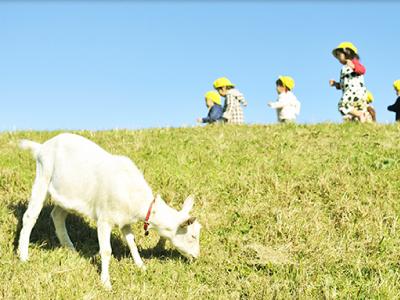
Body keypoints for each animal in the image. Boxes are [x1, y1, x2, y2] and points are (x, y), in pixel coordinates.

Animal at [18, 133, 200, 288]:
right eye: (192, 236)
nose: (196, 257)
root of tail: (41, 147)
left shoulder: (125, 221)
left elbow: (132, 242)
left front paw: (141, 266)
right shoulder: (104, 219)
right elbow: (106, 251)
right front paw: (106, 282)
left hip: (67, 195)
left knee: (57, 215)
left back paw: (70, 248)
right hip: (43, 177)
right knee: (30, 216)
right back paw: (23, 255)